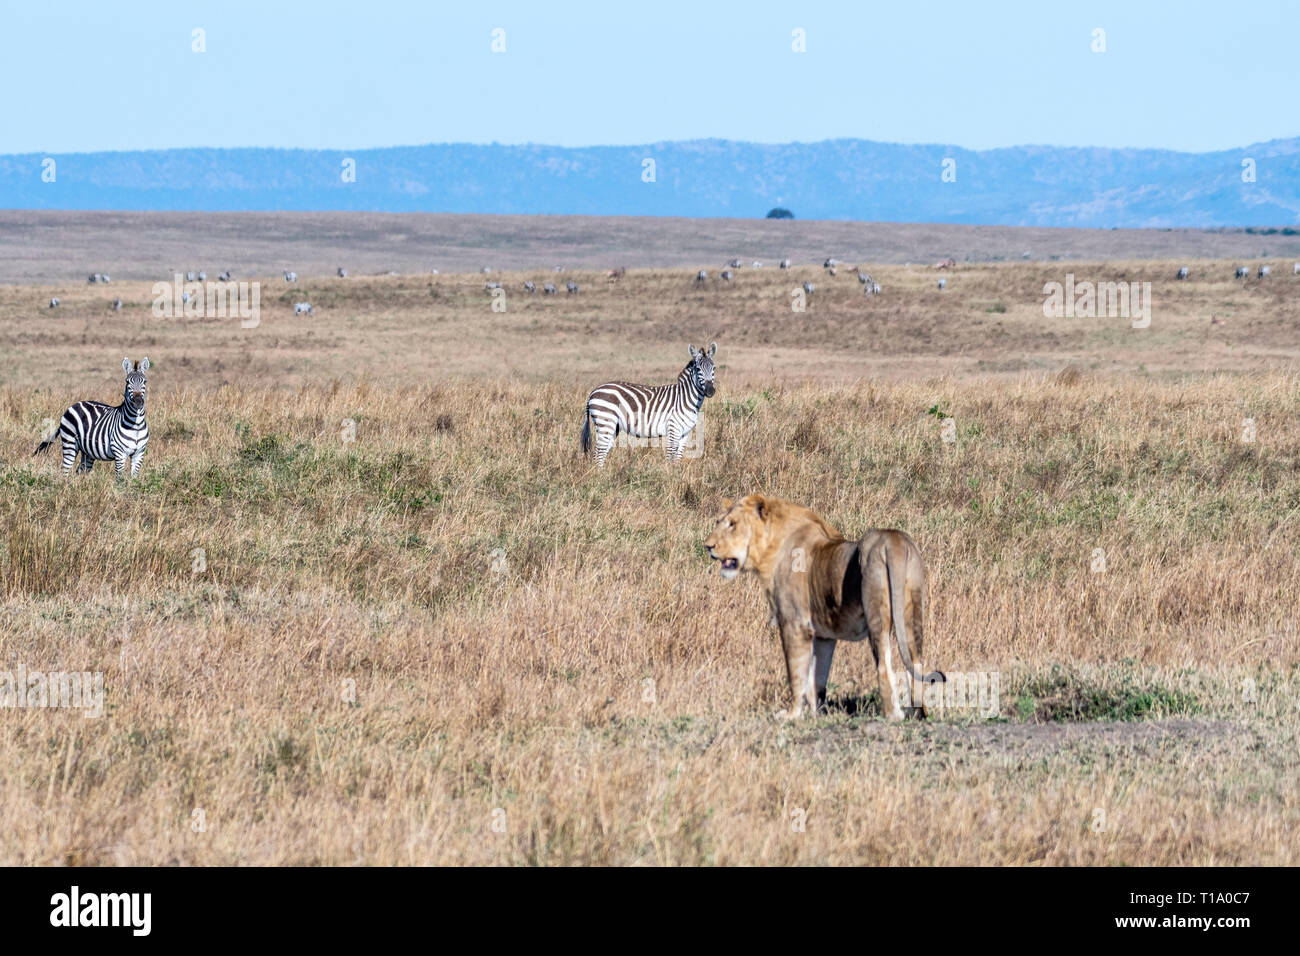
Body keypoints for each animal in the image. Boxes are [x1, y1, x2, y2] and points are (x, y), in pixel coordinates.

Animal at [704, 494, 944, 720]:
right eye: (718, 522)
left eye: (733, 524)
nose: (708, 546)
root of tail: (894, 539)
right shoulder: (824, 635)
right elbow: (817, 678)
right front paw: (815, 712)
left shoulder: (794, 624)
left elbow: (796, 673)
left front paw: (792, 715)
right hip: (913, 611)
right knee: (916, 660)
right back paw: (919, 713)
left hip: (877, 610)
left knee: (884, 664)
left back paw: (892, 715)